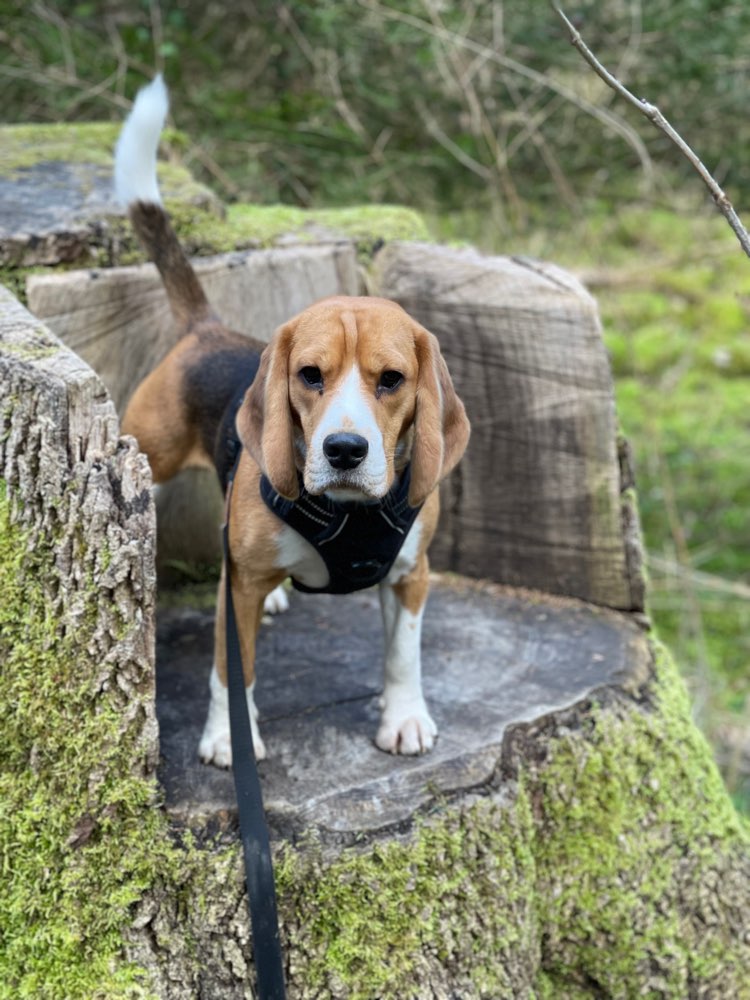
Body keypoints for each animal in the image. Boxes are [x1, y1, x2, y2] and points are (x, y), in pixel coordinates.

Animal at [116, 78, 470, 764]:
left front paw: (405, 718)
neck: (349, 515)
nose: (344, 450)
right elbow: (233, 669)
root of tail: (207, 330)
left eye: (392, 380)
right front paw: (228, 737)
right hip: (153, 461)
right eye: (310, 374)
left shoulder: (411, 575)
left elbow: (404, 655)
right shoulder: (238, 590)